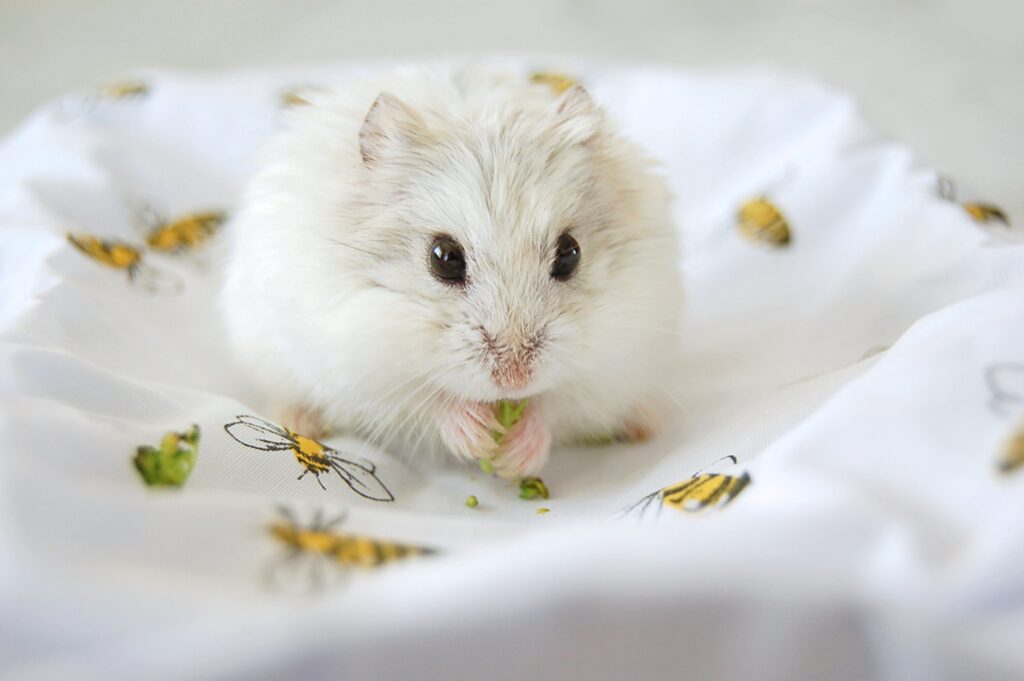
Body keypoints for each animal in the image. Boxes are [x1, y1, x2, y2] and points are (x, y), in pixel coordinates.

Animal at [221, 65, 683, 479]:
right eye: (444, 258)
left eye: (570, 254)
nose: (515, 379)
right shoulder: (359, 372)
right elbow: (427, 404)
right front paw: (476, 437)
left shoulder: (615, 363)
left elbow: (556, 405)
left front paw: (516, 456)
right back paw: (299, 420)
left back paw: (645, 424)